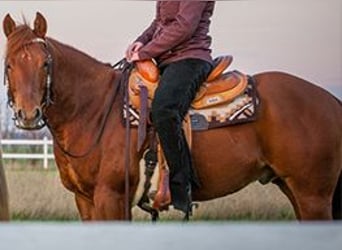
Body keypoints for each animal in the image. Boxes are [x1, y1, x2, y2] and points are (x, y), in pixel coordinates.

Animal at [2, 13, 342, 221]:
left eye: (45, 63)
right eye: (8, 64)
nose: (28, 114)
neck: (94, 109)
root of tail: (331, 100)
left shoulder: (112, 196)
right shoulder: (84, 200)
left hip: (313, 194)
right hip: (294, 188)